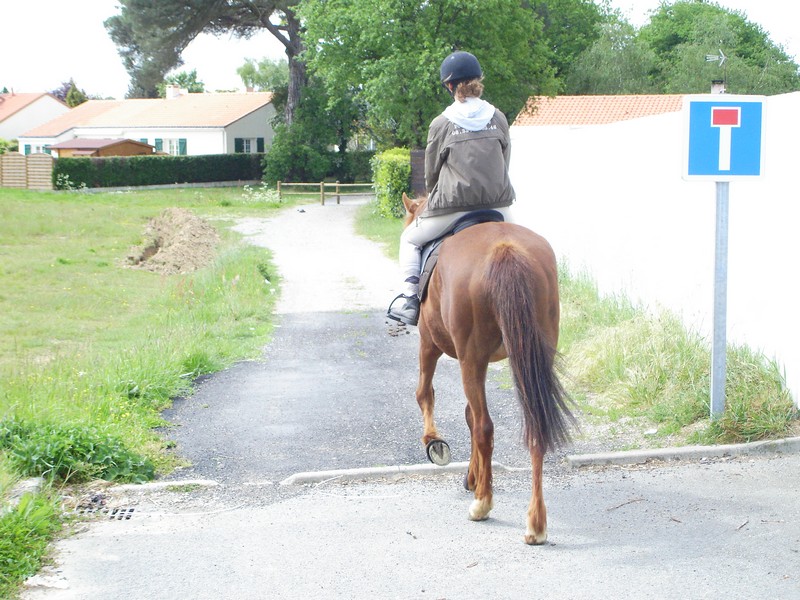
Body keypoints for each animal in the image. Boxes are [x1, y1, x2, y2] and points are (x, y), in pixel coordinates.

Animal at [404, 195, 572, 548]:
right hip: (530, 357)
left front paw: (435, 444)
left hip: (470, 358)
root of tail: (505, 250)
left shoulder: (429, 344)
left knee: (484, 427)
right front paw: (473, 475)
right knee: (533, 427)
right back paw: (535, 523)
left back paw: (483, 504)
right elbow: (467, 414)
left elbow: (425, 394)